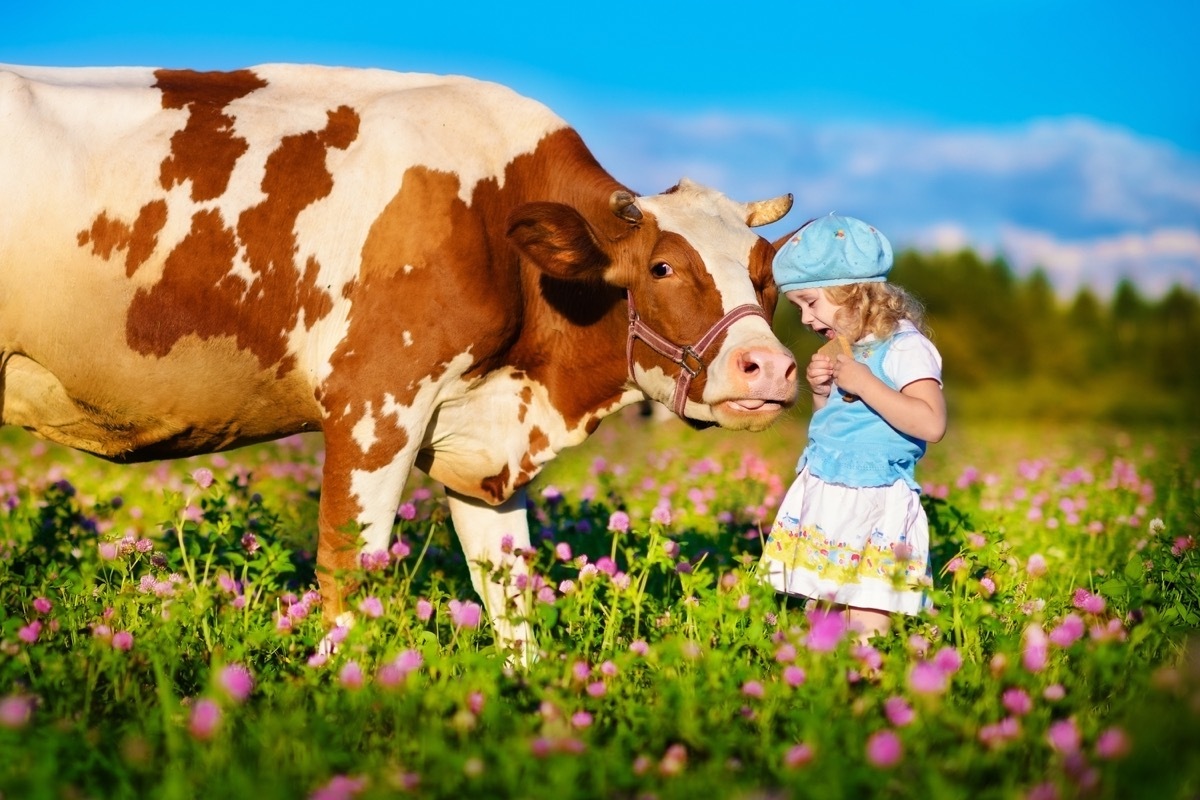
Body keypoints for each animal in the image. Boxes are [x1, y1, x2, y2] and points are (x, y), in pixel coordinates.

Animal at [0, 64, 796, 662]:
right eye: (662, 267)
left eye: (766, 275)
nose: (770, 366)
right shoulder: (373, 404)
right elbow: (349, 572)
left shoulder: (483, 438)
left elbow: (509, 595)